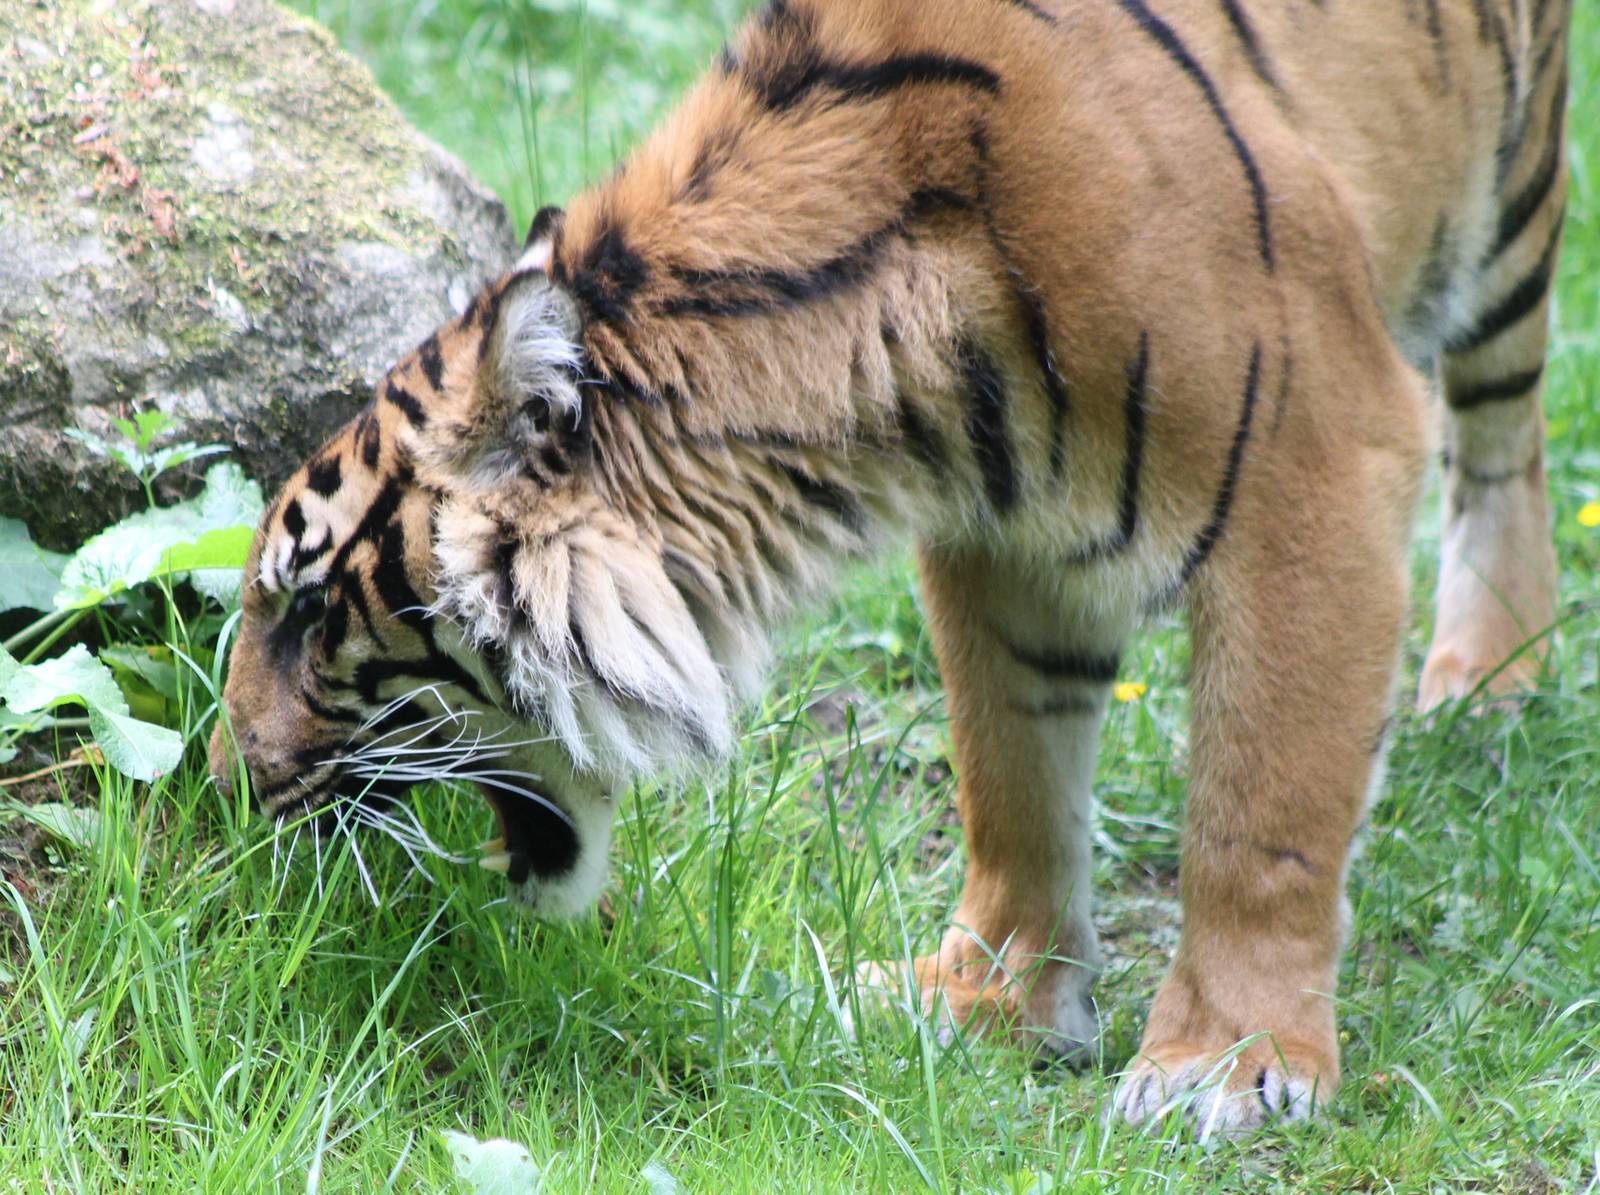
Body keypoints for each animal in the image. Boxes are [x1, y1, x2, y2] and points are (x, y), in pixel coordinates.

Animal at [208, 0, 1572, 1134]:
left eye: (311, 606)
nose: (230, 784)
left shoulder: (1314, 466)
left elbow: (1261, 807)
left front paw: (1225, 1062)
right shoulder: (1007, 539)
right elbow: (1013, 781)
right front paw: (990, 1003)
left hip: (1508, 208)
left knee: (1505, 431)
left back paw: (1489, 672)